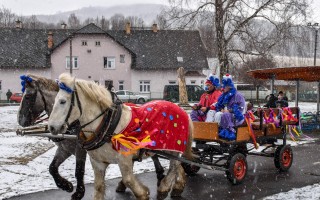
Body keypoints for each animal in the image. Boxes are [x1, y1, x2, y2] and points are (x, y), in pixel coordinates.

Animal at [47, 73, 192, 200]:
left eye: (62, 101)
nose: (51, 127)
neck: (107, 126)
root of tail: (181, 109)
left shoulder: (124, 159)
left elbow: (129, 180)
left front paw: (144, 193)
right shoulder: (98, 163)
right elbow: (98, 188)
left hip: (173, 148)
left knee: (174, 165)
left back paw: (164, 188)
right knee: (178, 165)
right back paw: (177, 187)